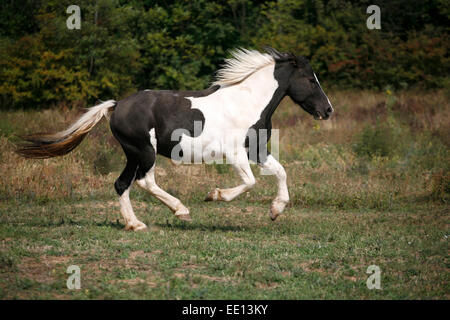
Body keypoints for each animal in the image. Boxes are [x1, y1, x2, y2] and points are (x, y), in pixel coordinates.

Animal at [15, 47, 332, 230]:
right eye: (310, 80)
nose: (328, 110)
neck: (247, 103)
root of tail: (116, 105)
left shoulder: (256, 149)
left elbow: (281, 172)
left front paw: (276, 211)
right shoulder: (234, 153)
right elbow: (250, 182)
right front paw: (214, 195)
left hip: (133, 153)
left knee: (122, 183)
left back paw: (135, 224)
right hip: (145, 151)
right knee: (144, 181)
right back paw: (181, 210)